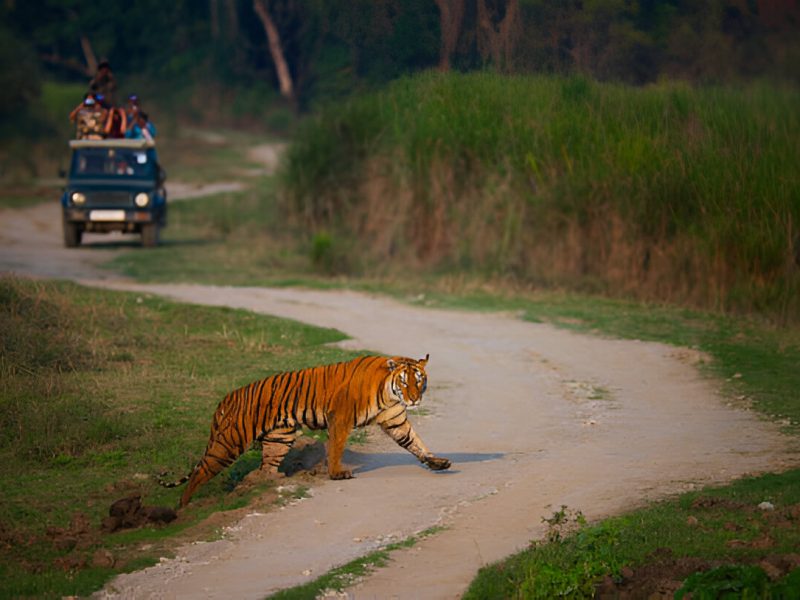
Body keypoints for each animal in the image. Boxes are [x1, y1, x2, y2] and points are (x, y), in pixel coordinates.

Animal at [160, 354, 450, 507]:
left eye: (419, 381)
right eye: (404, 382)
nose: (413, 399)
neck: (389, 393)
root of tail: (227, 398)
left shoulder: (395, 420)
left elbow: (415, 442)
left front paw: (437, 462)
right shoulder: (340, 419)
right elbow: (336, 448)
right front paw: (337, 474)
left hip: (280, 437)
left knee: (266, 465)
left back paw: (272, 482)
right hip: (231, 442)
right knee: (201, 470)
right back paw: (183, 509)